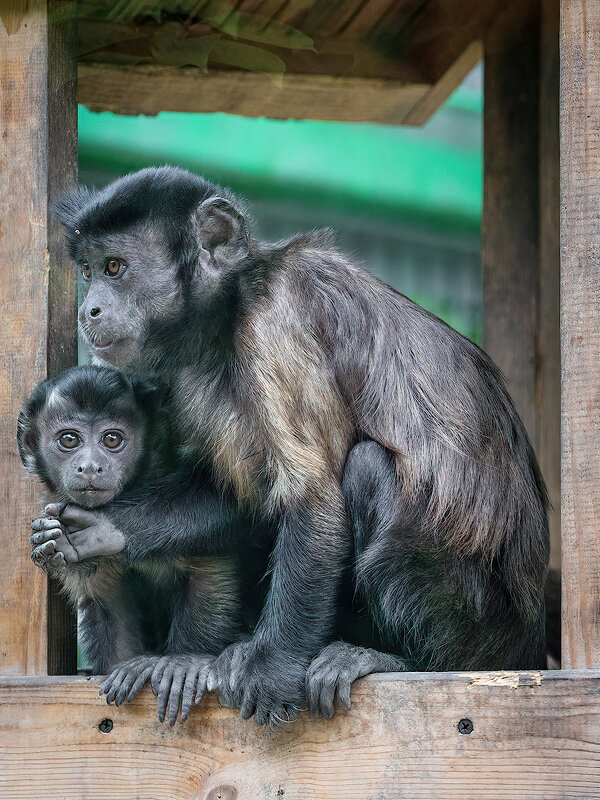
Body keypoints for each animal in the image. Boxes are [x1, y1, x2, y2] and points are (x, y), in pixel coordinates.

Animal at [19, 368, 243, 724]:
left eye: (112, 440)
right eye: (69, 440)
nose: (90, 466)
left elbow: (211, 572)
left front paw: (184, 662)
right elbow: (109, 600)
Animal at [51, 167, 548, 724]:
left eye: (116, 268)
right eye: (88, 270)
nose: (89, 308)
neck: (228, 314)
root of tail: (526, 640)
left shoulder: (275, 325)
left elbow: (313, 498)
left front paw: (272, 667)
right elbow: (243, 501)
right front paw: (101, 531)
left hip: (474, 628)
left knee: (367, 469)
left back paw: (393, 659)